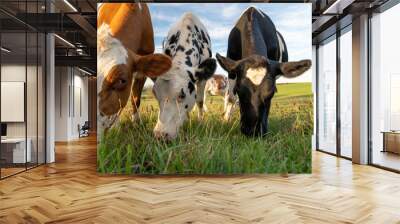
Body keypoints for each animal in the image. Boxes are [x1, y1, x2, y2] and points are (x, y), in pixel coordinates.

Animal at [152, 12, 216, 140]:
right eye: (155, 94)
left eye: (182, 95)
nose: (160, 135)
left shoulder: (202, 79)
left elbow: (200, 101)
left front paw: (200, 122)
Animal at [216, 6, 312, 136]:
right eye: (239, 91)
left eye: (271, 93)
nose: (252, 131)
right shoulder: (231, 67)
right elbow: (231, 97)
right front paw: (226, 120)